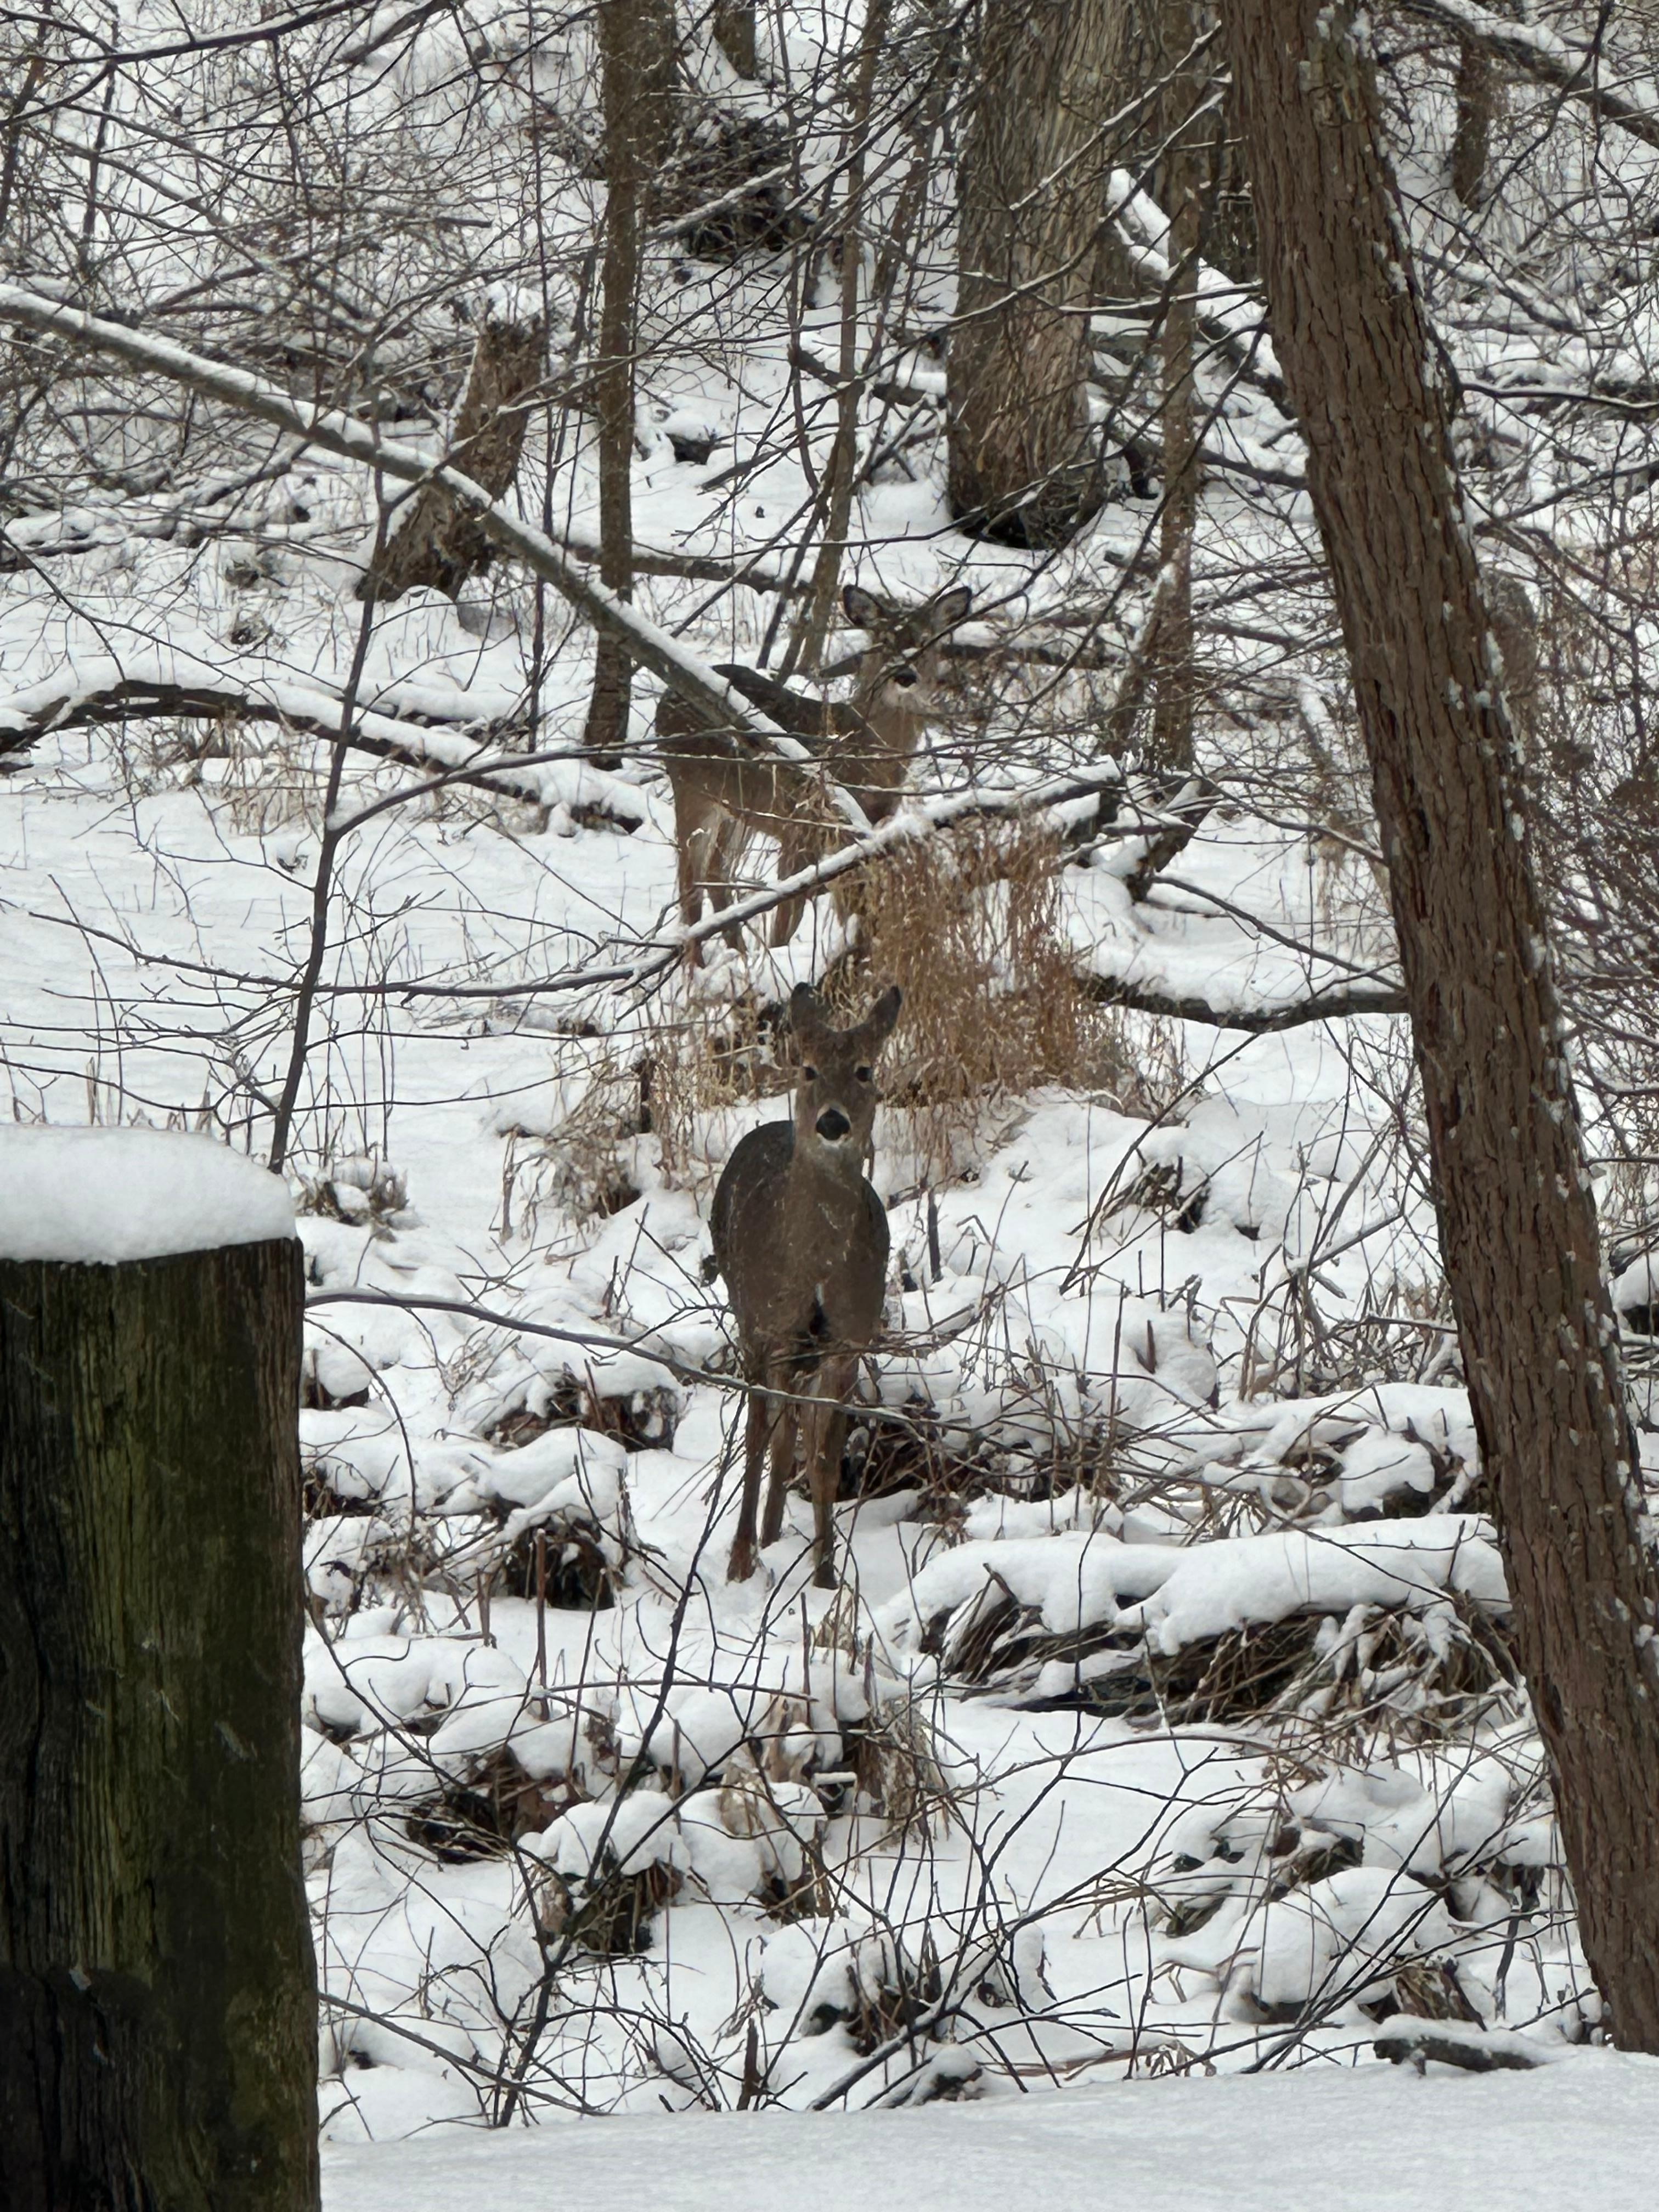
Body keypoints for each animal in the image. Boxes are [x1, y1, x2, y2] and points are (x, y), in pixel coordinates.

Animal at [656, 582, 972, 959]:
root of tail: (664, 701)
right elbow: (788, 915)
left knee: (717, 874)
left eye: (927, 639)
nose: (905, 676)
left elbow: (853, 907)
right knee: (690, 883)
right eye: (882, 639)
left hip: (738, 809)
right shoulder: (802, 823)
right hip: (691, 786)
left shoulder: (867, 827)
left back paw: (740, 956)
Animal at [710, 981, 902, 1586]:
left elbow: (823, 1458)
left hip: (809, 1353)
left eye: (864, 1069)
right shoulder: (762, 1326)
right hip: (748, 1311)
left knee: (794, 1430)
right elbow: (753, 1440)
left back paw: (776, 1532)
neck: (814, 1270)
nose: (832, 1123)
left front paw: (825, 1574)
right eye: (810, 1068)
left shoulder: (848, 1340)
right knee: (774, 1429)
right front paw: (739, 1563)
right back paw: (760, 1538)